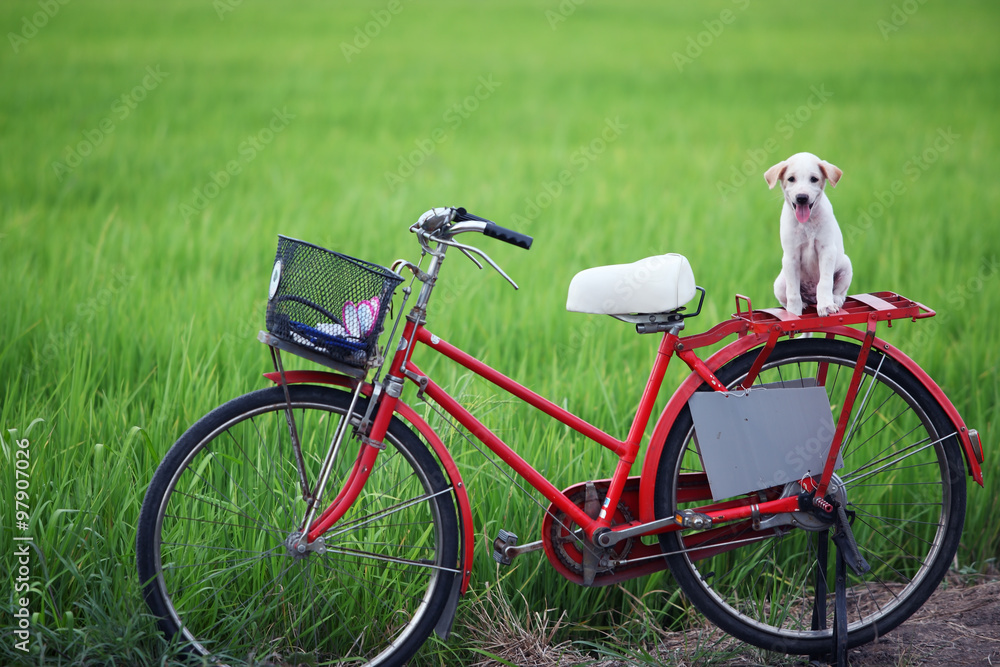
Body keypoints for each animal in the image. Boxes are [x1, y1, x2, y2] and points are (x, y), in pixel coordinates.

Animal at [764, 152, 852, 318]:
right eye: (791, 179)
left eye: (814, 179)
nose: (802, 197)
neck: (807, 223)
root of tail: (812, 298)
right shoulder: (791, 256)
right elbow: (793, 292)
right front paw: (793, 313)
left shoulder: (827, 250)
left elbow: (825, 283)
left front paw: (826, 306)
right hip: (779, 283)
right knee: (787, 297)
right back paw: (802, 304)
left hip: (846, 266)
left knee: (839, 290)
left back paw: (835, 300)